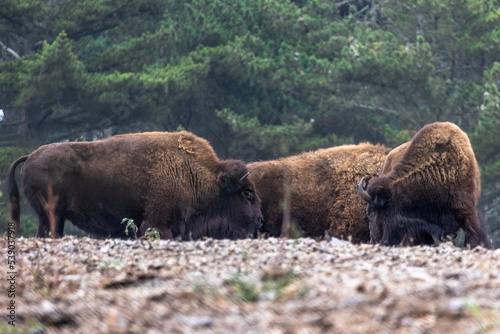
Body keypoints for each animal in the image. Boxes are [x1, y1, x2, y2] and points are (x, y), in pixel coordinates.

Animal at [7, 131, 264, 240]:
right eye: (247, 193)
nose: (261, 220)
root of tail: (30, 157)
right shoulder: (157, 221)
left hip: (54, 217)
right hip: (50, 215)